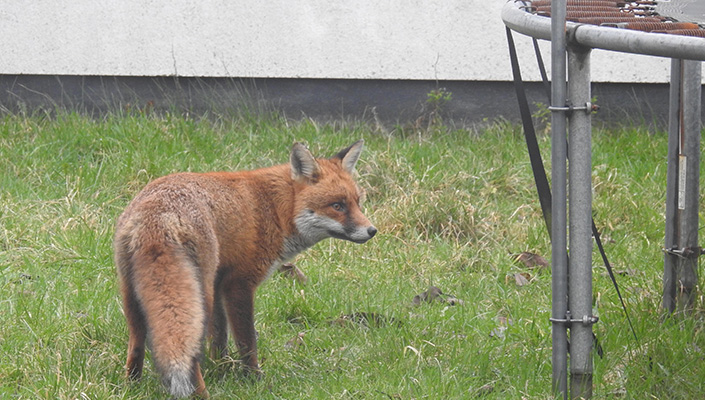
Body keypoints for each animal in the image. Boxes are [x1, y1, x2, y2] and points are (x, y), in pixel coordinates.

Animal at [113, 140, 374, 396]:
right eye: (337, 206)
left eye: (358, 203)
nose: (372, 230)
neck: (275, 209)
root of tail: (158, 216)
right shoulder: (238, 284)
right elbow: (247, 340)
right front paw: (253, 378)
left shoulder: (219, 283)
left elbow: (219, 337)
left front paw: (222, 369)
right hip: (199, 294)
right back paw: (200, 393)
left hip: (134, 293)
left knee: (136, 344)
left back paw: (132, 386)